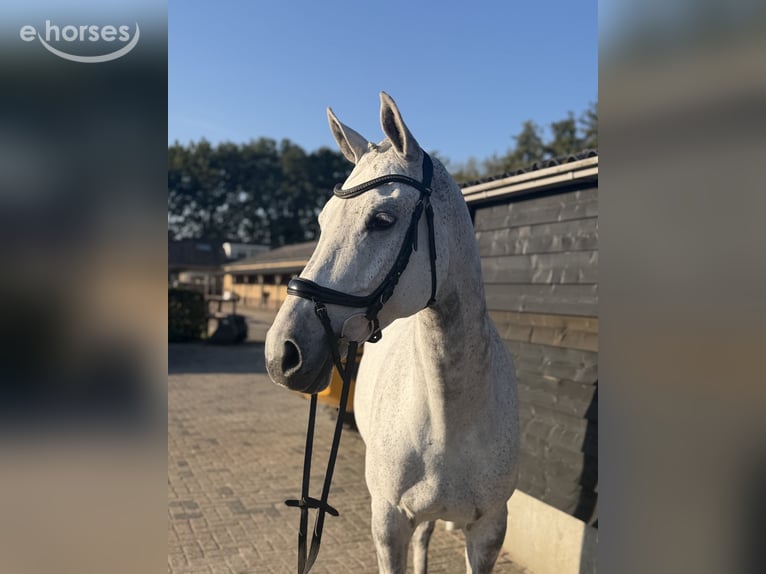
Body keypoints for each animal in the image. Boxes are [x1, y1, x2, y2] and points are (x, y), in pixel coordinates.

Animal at [265, 92, 519, 574]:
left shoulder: (488, 532)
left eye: (382, 219)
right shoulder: (388, 523)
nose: (281, 354)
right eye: (323, 221)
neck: (448, 418)